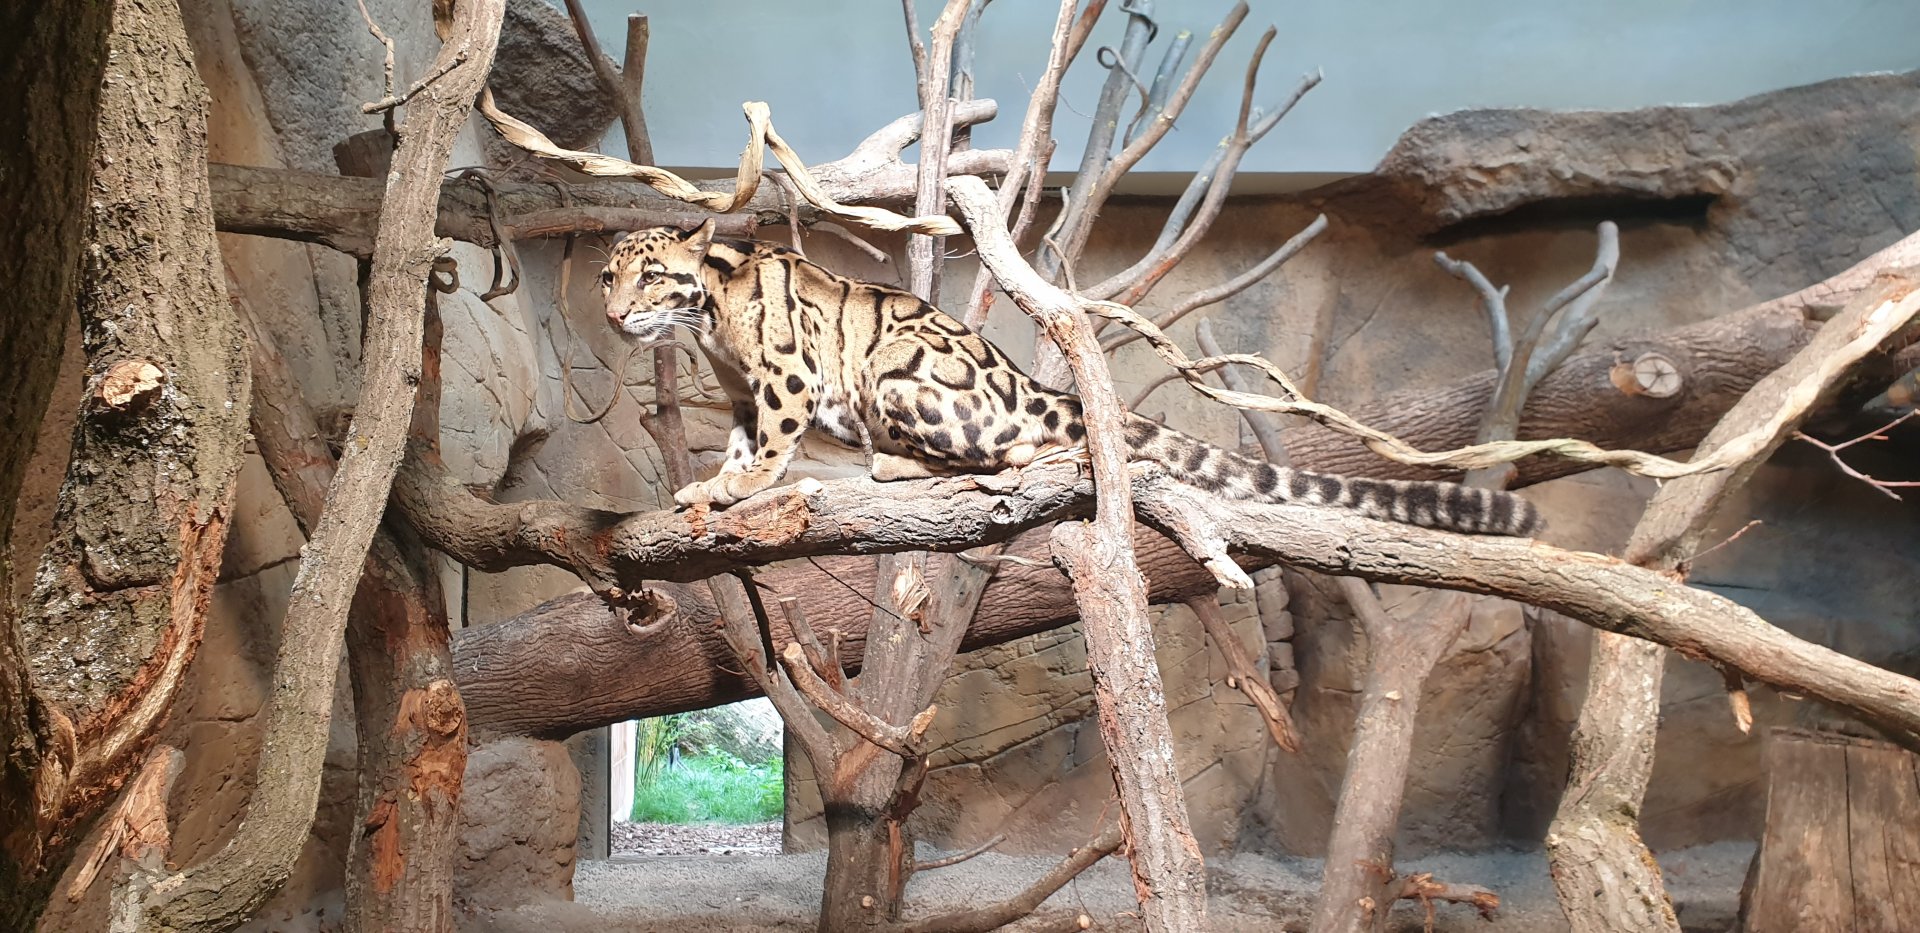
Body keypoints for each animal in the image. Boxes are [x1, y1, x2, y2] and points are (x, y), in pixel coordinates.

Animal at [599, 220, 1540, 537]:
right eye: (609, 277)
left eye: (652, 277)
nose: (611, 315)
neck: (709, 316)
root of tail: (1031, 384)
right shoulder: (736, 390)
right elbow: (735, 439)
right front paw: (713, 481)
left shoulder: (787, 378)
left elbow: (768, 448)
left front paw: (737, 488)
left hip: (896, 381)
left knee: (1008, 453)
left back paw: (899, 462)